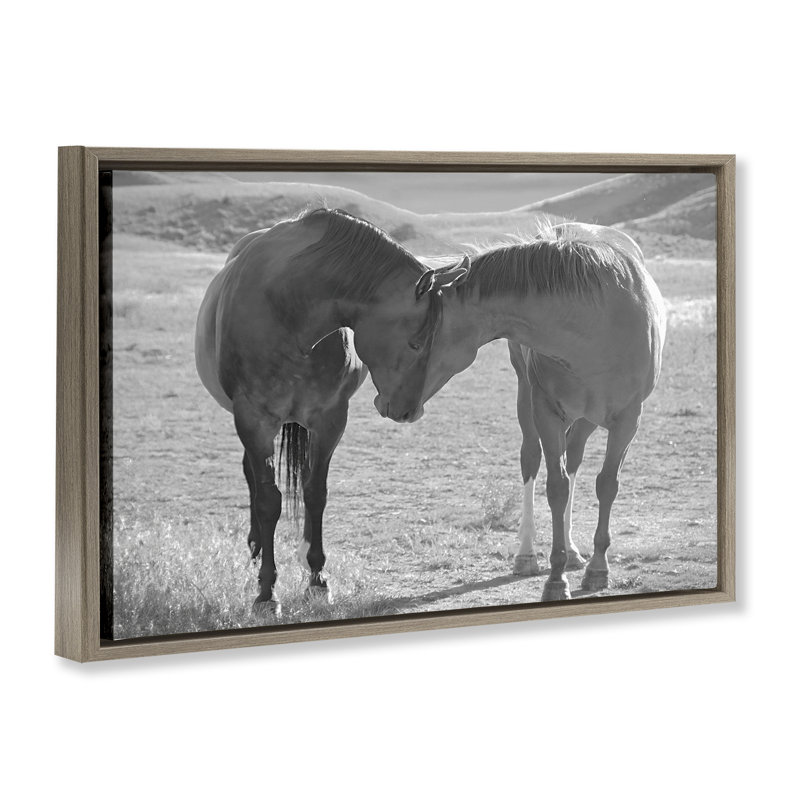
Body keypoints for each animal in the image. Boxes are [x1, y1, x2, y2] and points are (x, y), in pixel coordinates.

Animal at [195, 208, 469, 615]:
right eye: (416, 342)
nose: (409, 411)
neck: (288, 310)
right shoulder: (253, 420)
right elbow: (268, 501)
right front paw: (266, 591)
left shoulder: (329, 419)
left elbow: (315, 493)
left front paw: (317, 578)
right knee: (252, 478)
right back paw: (257, 548)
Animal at [382, 222, 666, 601]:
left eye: (414, 342)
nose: (388, 405)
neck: (595, 324)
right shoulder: (545, 411)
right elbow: (556, 487)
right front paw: (556, 579)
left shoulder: (628, 419)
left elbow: (606, 485)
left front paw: (597, 569)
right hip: (527, 398)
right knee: (532, 459)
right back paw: (528, 554)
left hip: (587, 418)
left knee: (574, 458)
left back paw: (573, 551)